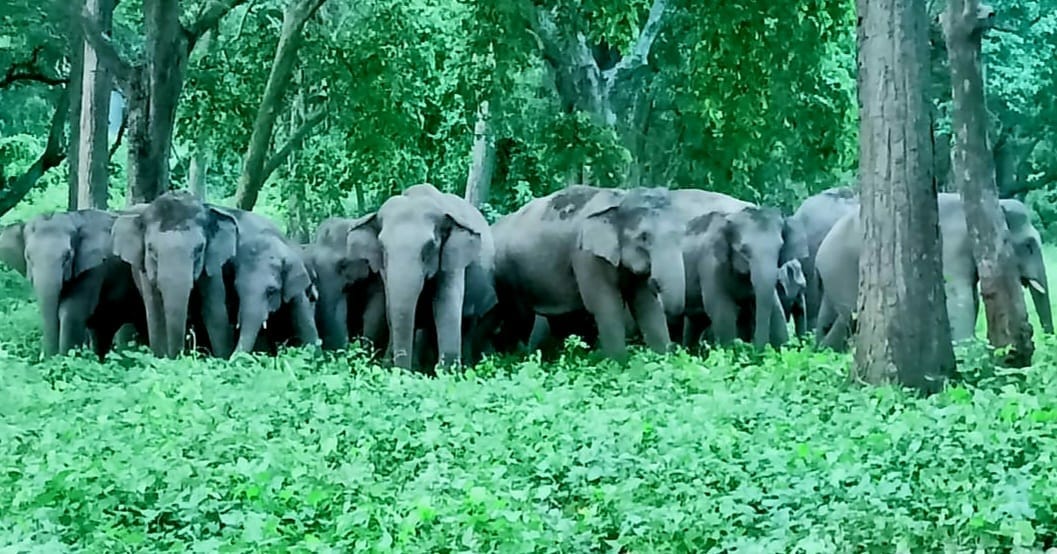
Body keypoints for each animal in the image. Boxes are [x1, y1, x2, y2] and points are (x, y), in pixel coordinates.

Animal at [0, 210, 147, 359]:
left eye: (67, 256)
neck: (73, 218)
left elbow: (71, 313)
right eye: (28, 257)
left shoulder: (93, 268)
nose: (49, 358)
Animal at [112, 190, 239, 359]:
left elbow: (215, 312)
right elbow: (156, 315)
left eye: (200, 249)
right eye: (151, 249)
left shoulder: (212, 265)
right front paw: (163, 359)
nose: (179, 356)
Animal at [343, 183, 497, 371]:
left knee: (469, 321)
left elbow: (446, 305)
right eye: (382, 246)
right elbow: (391, 308)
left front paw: (447, 373)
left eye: (430, 246)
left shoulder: (452, 260)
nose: (402, 371)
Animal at [491, 185, 686, 361]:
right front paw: (620, 366)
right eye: (644, 237)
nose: (655, 283)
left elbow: (647, 306)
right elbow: (607, 306)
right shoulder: (586, 257)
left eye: (681, 235)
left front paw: (662, 361)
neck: (620, 200)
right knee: (517, 319)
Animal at [814, 193, 1053, 351]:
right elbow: (960, 299)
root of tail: (820, 251)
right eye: (1029, 245)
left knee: (832, 318)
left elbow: (972, 298)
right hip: (841, 271)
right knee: (851, 318)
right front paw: (966, 349)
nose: (1046, 342)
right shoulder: (952, 247)